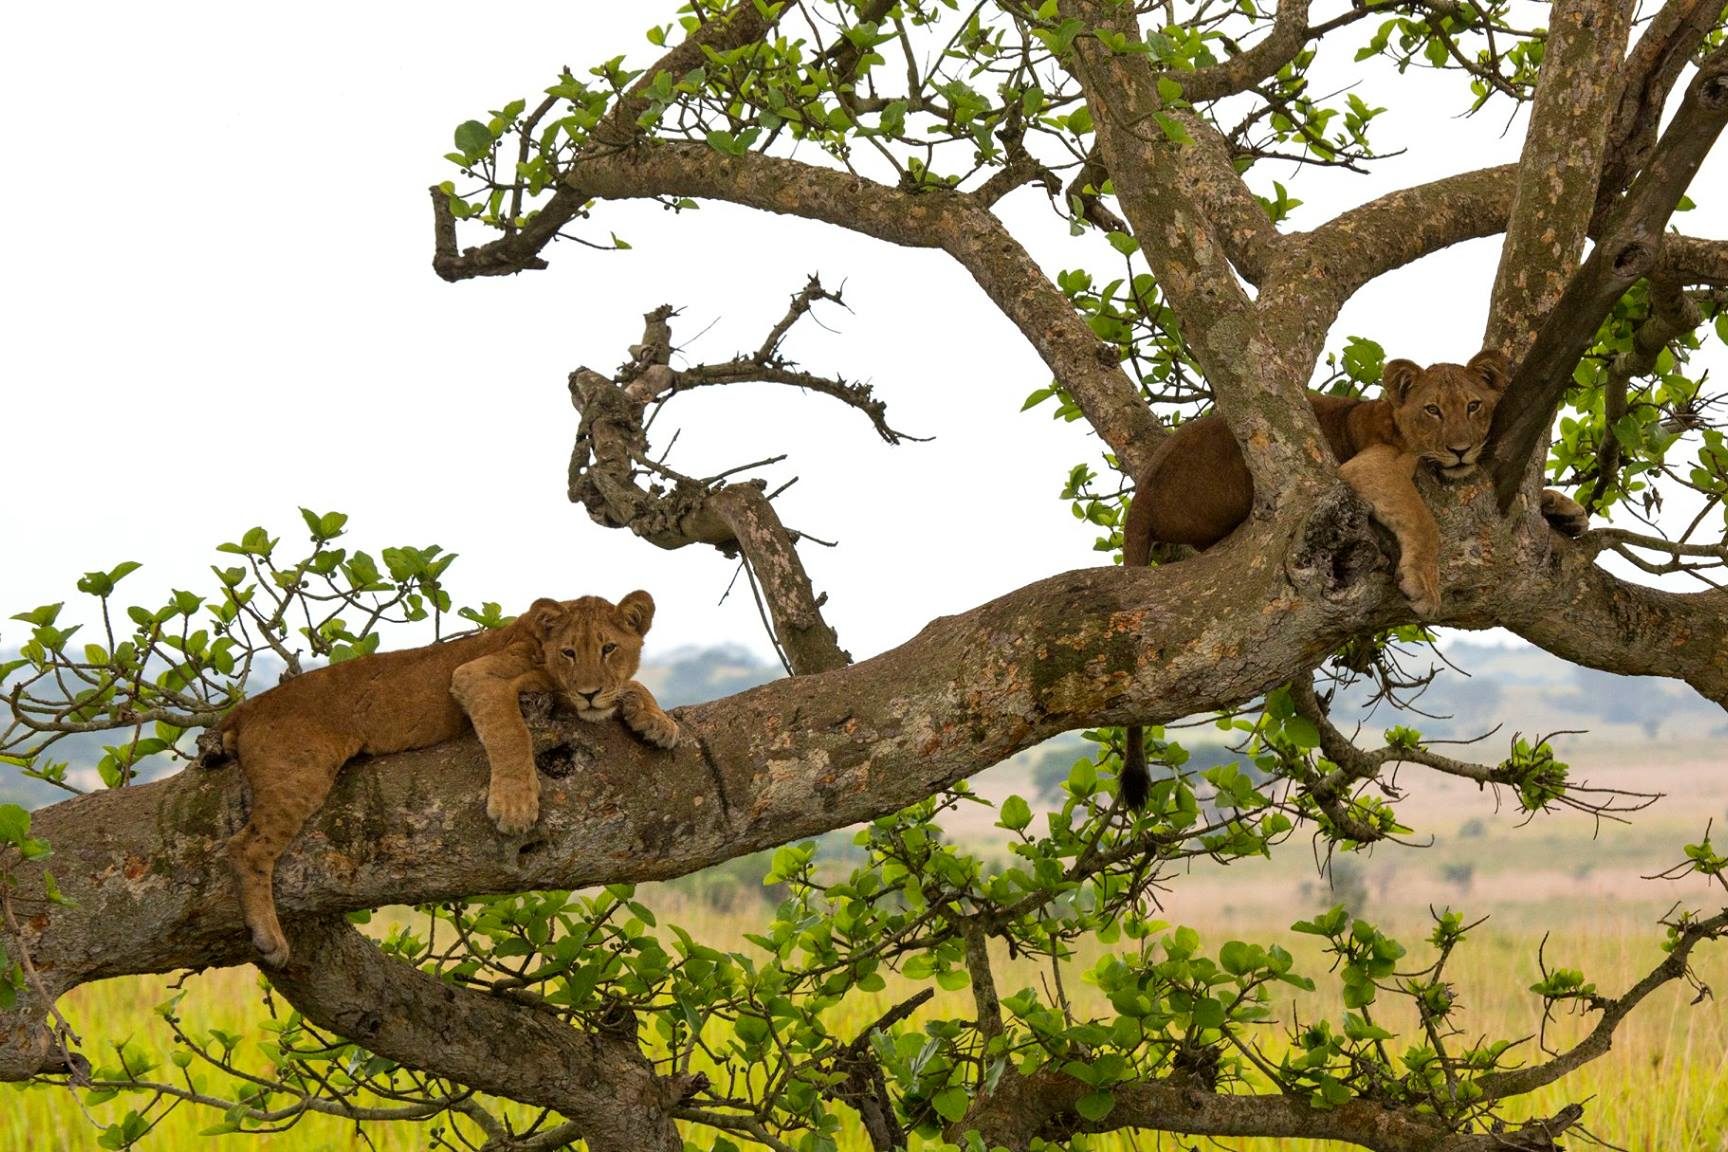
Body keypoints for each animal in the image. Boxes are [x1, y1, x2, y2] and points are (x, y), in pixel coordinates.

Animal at [204, 591, 679, 967]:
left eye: (609, 648)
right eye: (569, 652)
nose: (589, 692)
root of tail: (249, 707)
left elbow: (633, 686)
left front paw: (658, 724)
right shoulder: (477, 675)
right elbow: (511, 732)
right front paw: (515, 808)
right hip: (299, 774)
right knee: (245, 847)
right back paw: (270, 939)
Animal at [1115, 350, 1589, 808]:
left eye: (1474, 406)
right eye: (1432, 410)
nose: (1460, 450)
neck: (1393, 422)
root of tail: (1142, 495)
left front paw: (1565, 509)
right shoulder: (1373, 467)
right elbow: (1420, 518)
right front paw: (1423, 584)